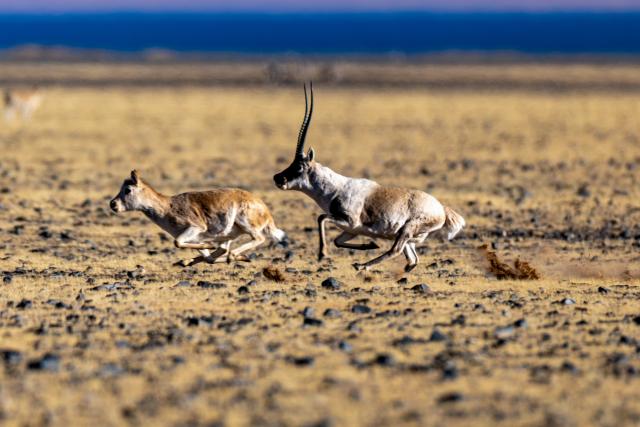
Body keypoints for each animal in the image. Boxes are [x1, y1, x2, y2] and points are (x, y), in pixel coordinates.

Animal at [110, 170, 286, 267]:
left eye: (127, 189)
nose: (112, 204)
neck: (167, 207)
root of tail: (266, 212)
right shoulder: (195, 236)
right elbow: (207, 257)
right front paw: (186, 260)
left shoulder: (196, 228)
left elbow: (178, 242)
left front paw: (206, 246)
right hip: (229, 234)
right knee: (221, 251)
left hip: (245, 224)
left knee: (259, 238)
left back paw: (233, 256)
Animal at [273, 83, 465, 272]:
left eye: (299, 166)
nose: (277, 178)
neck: (335, 189)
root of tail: (441, 209)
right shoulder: (351, 229)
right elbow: (337, 241)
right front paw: (371, 244)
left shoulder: (349, 220)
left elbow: (321, 218)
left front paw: (322, 254)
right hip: (409, 238)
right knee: (412, 260)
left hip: (407, 229)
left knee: (395, 250)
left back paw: (362, 265)